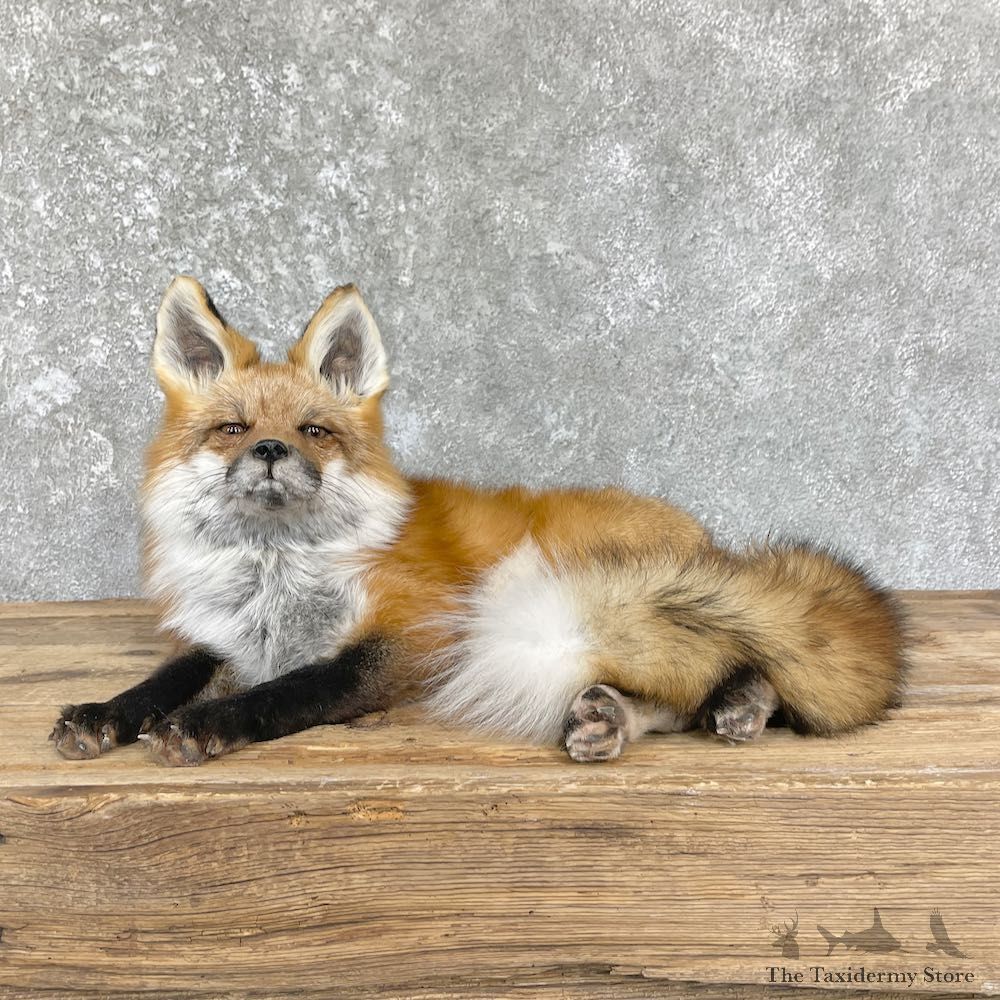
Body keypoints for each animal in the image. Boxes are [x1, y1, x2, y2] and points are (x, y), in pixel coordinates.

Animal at [51, 277, 906, 766]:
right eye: (232, 428)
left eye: (313, 431)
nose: (267, 450)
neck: (277, 579)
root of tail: (705, 537)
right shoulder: (220, 635)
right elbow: (164, 678)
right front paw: (107, 713)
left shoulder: (418, 632)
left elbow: (302, 686)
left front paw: (214, 721)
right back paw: (619, 718)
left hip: (585, 596)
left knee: (725, 663)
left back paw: (728, 706)